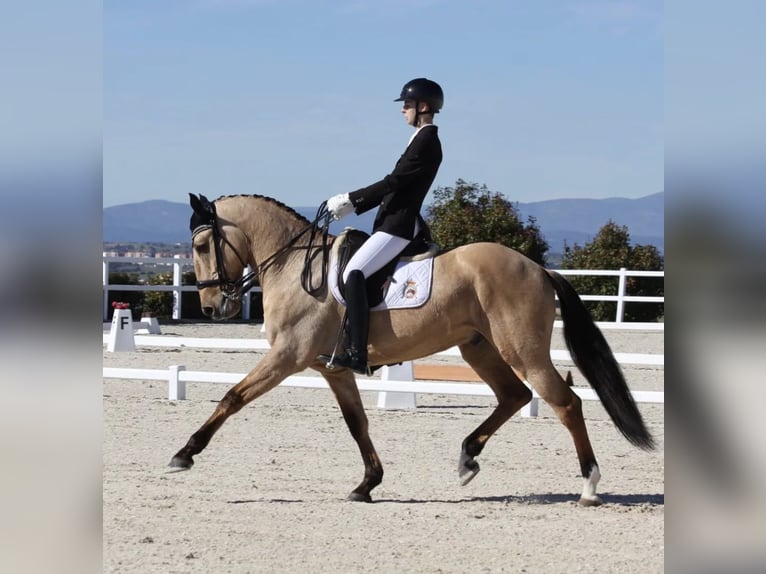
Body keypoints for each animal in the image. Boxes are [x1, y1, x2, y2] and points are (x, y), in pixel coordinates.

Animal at [171, 192, 656, 504]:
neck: (293, 266)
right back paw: (467, 459)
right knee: (514, 395)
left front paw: (184, 454)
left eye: (201, 244)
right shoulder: (333, 368)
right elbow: (357, 424)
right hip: (479, 348)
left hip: (522, 350)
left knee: (565, 402)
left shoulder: (287, 357)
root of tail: (538, 267)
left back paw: (589, 486)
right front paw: (367, 484)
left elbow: (232, 397)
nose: (212, 306)